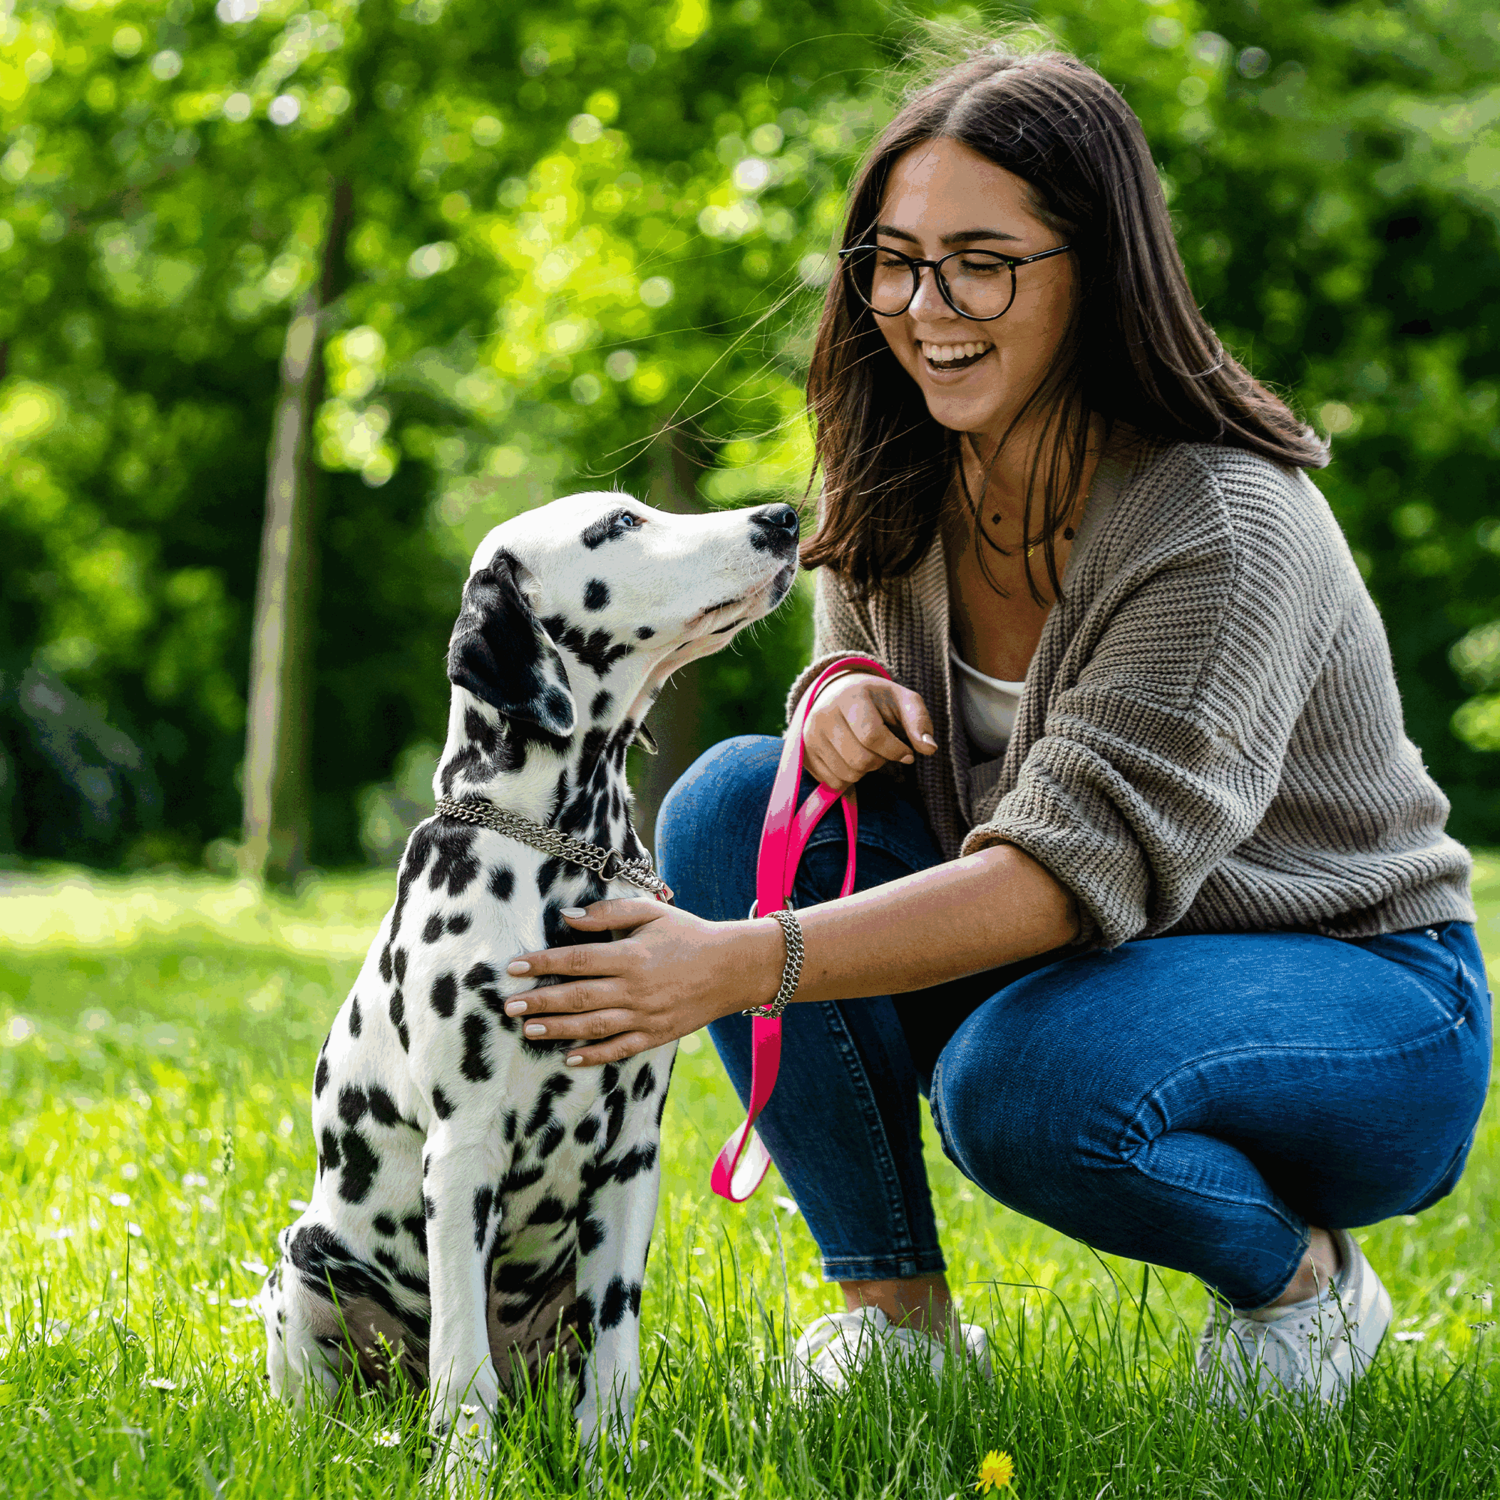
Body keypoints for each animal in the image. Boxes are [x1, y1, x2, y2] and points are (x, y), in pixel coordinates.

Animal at [253, 486, 804, 1470]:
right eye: (617, 525)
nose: (782, 516)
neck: (561, 864)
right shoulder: (463, 1154)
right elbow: (461, 1355)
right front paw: (466, 1466)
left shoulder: (632, 1160)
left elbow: (616, 1349)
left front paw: (610, 1456)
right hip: (302, 1264)